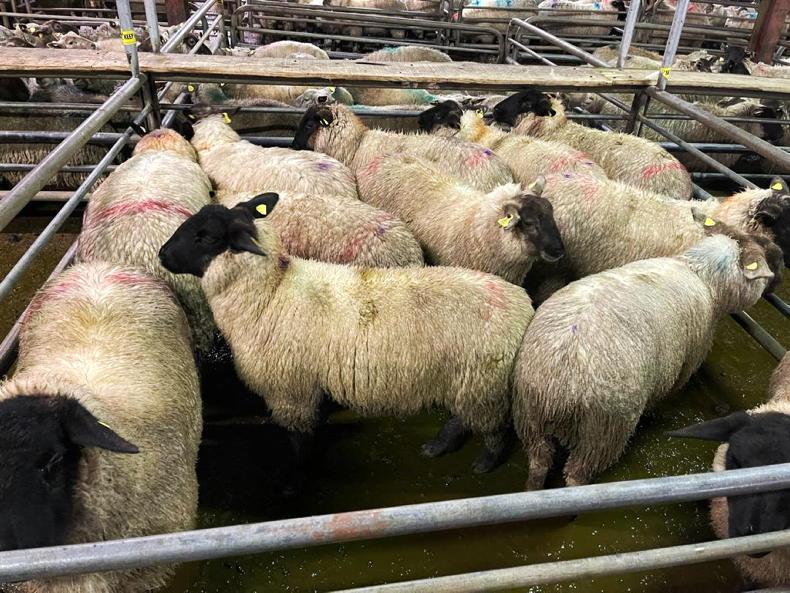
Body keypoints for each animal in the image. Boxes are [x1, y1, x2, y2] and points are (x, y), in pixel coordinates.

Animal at [159, 194, 535, 474]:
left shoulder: (290, 390)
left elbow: (298, 439)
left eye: (206, 237)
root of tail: (523, 306)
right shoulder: (307, 385)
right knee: (461, 419)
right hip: (468, 381)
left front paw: (297, 474)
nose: (162, 254)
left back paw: (485, 463)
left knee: (494, 429)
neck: (270, 291)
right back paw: (438, 446)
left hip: (484, 382)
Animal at [514, 230, 774, 490]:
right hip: (602, 431)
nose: (769, 283)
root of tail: (557, 388)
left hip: (530, 419)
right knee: (577, 475)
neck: (700, 273)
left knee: (539, 464)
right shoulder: (689, 359)